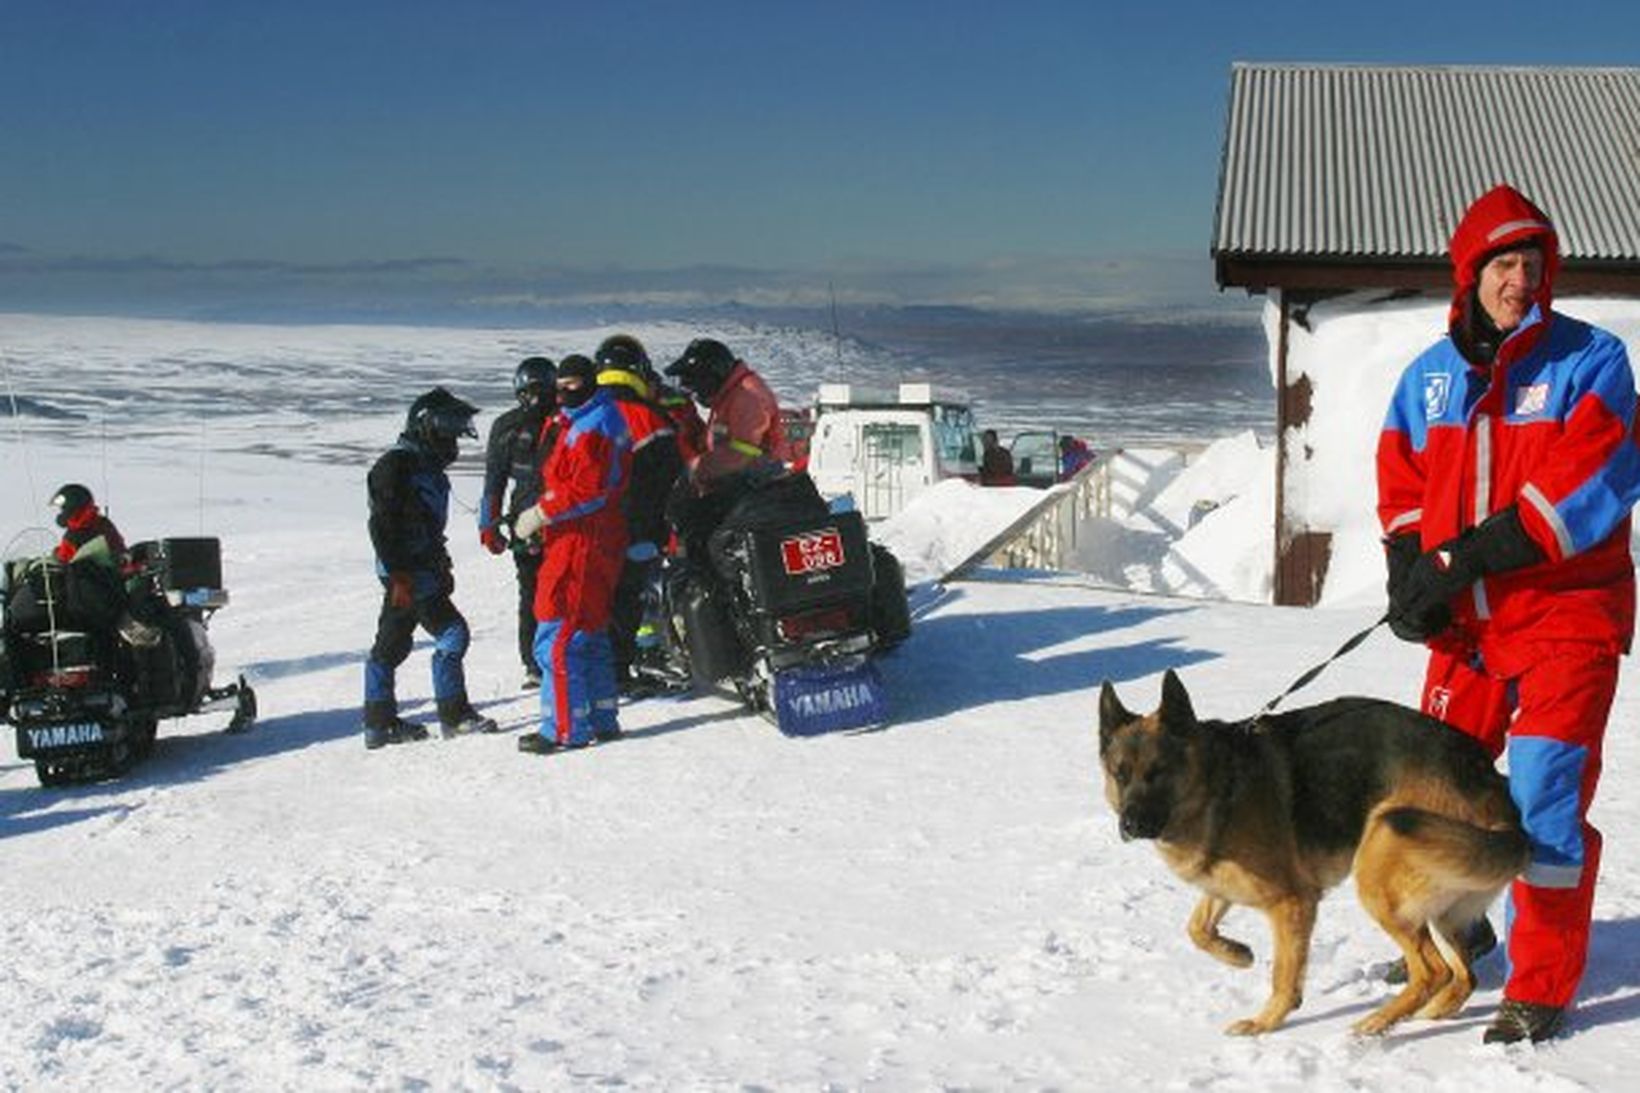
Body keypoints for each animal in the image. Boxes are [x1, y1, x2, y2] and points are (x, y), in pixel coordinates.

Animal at [1095, 669, 1528, 1037]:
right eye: (1121, 774)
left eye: (1158, 772)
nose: (1130, 825)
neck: (1219, 782)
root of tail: (1488, 778)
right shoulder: (1224, 884)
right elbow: (1197, 928)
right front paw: (1238, 953)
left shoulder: (1292, 902)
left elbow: (1283, 976)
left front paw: (1264, 1024)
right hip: (1441, 905)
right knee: (1464, 975)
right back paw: (1427, 1013)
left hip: (1379, 882)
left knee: (1432, 971)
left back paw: (1376, 1022)